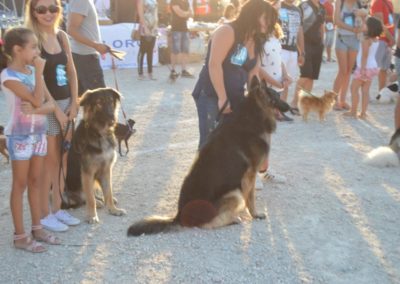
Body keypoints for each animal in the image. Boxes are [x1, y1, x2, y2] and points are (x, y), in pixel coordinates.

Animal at [62, 87, 126, 223]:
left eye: (111, 101)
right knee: (83, 198)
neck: (99, 133)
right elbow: (90, 198)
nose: (112, 118)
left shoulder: (106, 169)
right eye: (99, 103)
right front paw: (92, 215)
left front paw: (113, 209)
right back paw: (98, 202)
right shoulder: (87, 172)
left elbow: (108, 192)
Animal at [128, 76, 288, 236]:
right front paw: (255, 214)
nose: (291, 108)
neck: (254, 115)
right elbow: (251, 198)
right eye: (277, 97)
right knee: (207, 224)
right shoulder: (250, 174)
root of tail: (179, 216)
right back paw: (233, 219)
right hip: (235, 193)